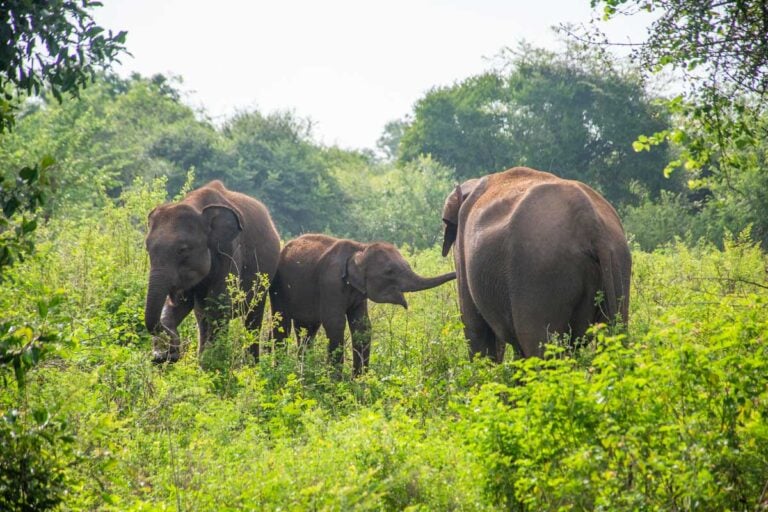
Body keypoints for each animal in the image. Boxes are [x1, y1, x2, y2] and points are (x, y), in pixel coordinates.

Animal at [144, 180, 280, 363]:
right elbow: (180, 305)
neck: (197, 207)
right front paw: (165, 354)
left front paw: (210, 363)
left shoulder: (229, 251)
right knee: (202, 317)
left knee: (252, 317)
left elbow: (219, 305)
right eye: (147, 249)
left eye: (182, 250)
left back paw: (252, 365)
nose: (169, 352)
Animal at [269, 234, 456, 375]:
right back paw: (282, 371)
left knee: (307, 329)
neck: (360, 248)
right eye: (390, 271)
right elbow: (335, 323)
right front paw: (336, 383)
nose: (457, 272)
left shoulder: (359, 293)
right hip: (278, 286)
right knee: (282, 324)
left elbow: (362, 327)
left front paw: (360, 382)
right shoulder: (330, 283)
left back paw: (303, 373)